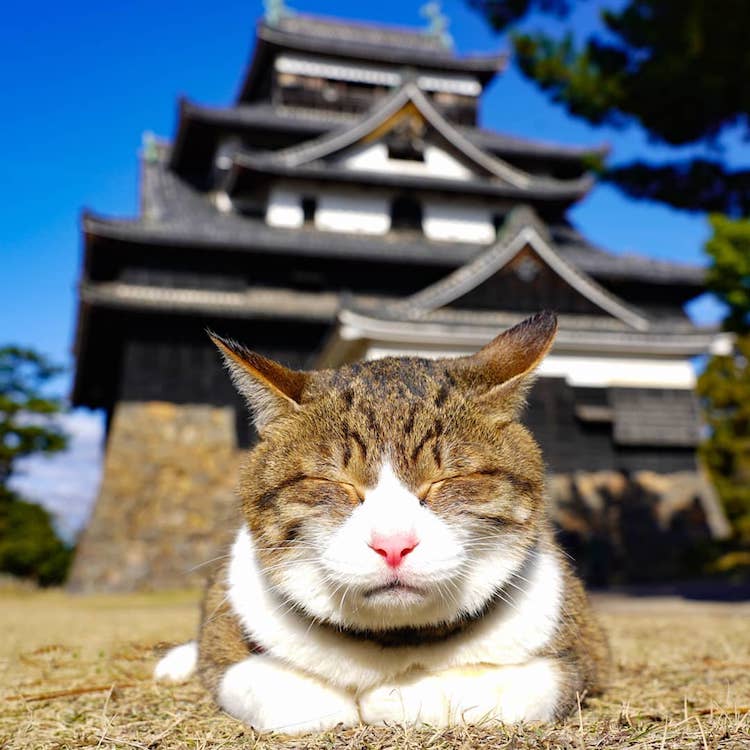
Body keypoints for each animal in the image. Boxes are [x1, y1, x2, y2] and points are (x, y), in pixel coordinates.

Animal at [154, 310, 612, 736]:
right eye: (337, 482)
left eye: (445, 479)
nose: (393, 544)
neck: (394, 638)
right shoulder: (227, 650)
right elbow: (279, 689)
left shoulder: (580, 655)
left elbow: (475, 686)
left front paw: (391, 695)